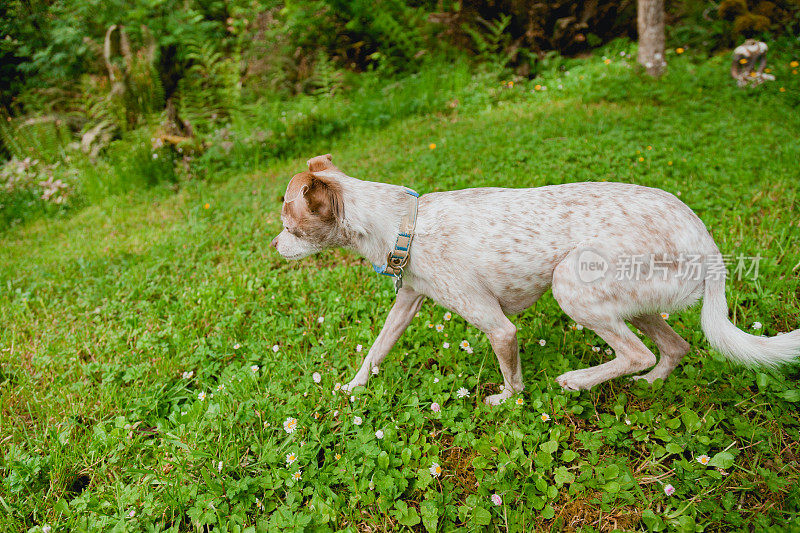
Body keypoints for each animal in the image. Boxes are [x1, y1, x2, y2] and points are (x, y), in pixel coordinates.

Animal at [270, 154, 800, 404]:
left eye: (288, 224)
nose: (273, 246)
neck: (407, 226)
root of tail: (709, 247)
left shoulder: (499, 328)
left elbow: (513, 378)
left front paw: (505, 400)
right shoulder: (408, 302)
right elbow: (376, 350)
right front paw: (352, 388)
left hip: (573, 284)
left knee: (637, 352)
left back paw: (578, 381)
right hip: (637, 303)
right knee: (673, 348)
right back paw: (650, 383)